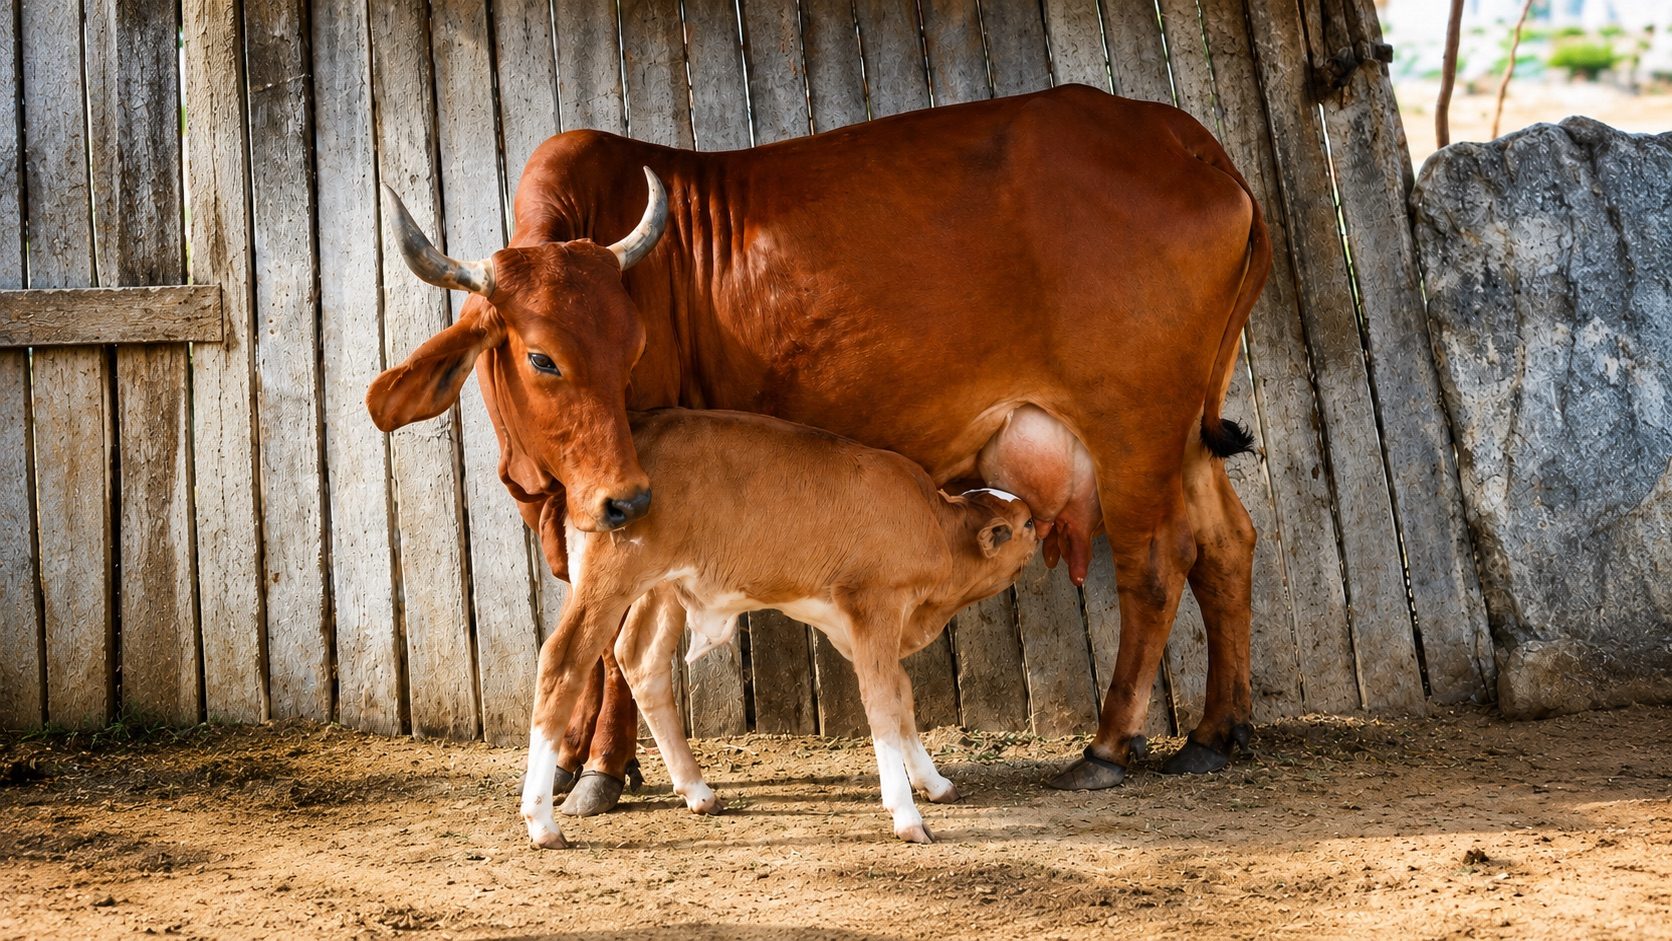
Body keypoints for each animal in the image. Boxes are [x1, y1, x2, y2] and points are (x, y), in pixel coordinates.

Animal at [518, 408, 1039, 848]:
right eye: (1029, 522)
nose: (1046, 524)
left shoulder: (853, 625)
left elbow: (901, 692)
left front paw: (934, 782)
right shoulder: (876, 603)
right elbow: (883, 703)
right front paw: (907, 815)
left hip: (662, 586)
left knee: (641, 661)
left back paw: (698, 791)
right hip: (609, 581)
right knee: (563, 662)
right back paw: (542, 821)